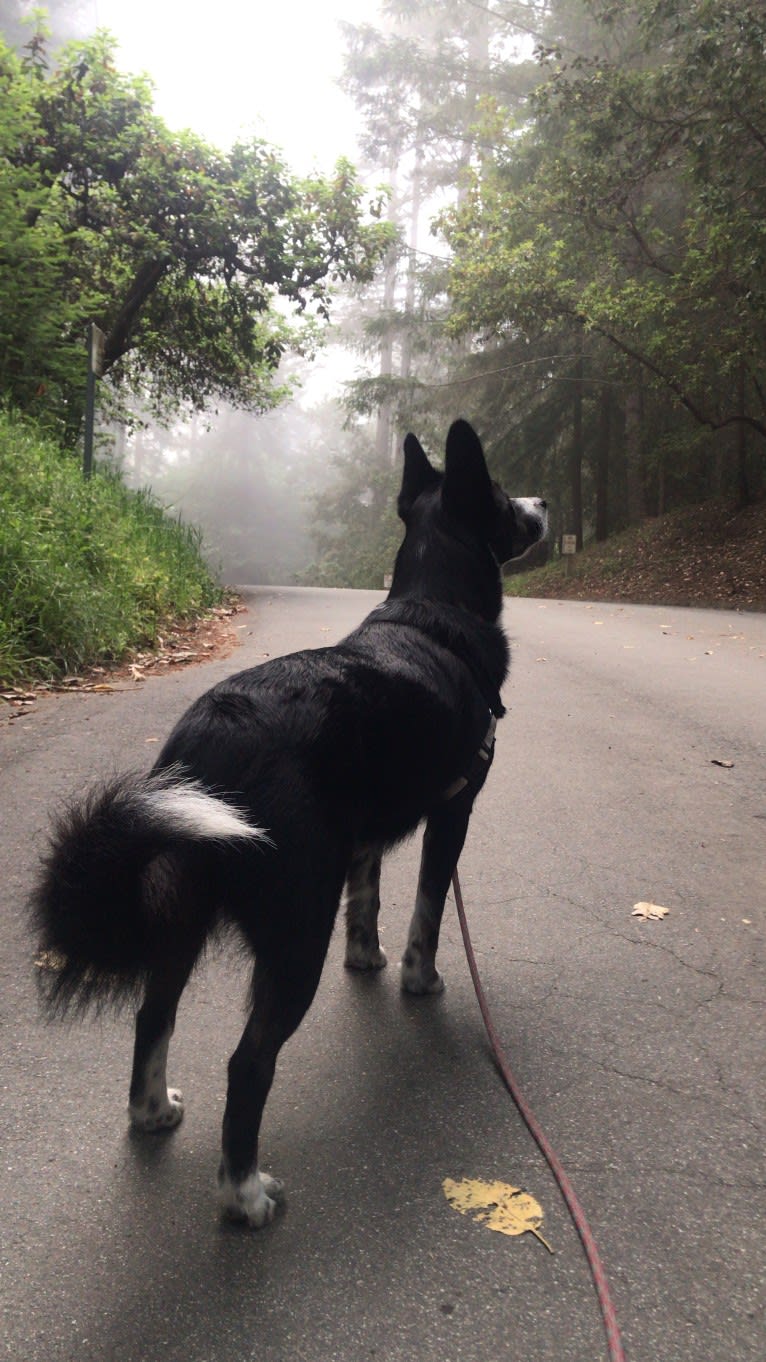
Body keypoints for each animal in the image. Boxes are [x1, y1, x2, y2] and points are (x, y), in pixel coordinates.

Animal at [29, 414, 542, 1225]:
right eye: (498, 494)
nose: (544, 504)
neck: (435, 611)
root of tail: (210, 739)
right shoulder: (452, 813)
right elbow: (427, 915)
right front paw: (419, 980)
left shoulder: (363, 836)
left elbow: (368, 901)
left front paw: (366, 960)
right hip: (296, 928)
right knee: (248, 1063)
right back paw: (243, 1192)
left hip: (181, 905)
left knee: (152, 1015)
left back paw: (151, 1112)